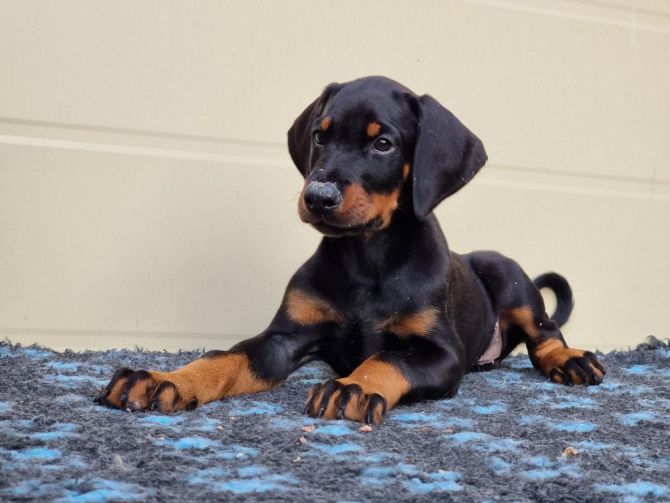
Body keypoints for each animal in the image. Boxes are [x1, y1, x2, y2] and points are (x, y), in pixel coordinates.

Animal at [95, 76, 605, 425]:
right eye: (320, 136)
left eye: (383, 143)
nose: (318, 196)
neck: (366, 258)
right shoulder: (283, 338)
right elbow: (226, 357)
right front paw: (166, 380)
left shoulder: (441, 354)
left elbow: (386, 358)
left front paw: (352, 388)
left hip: (506, 273)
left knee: (544, 334)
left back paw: (572, 361)